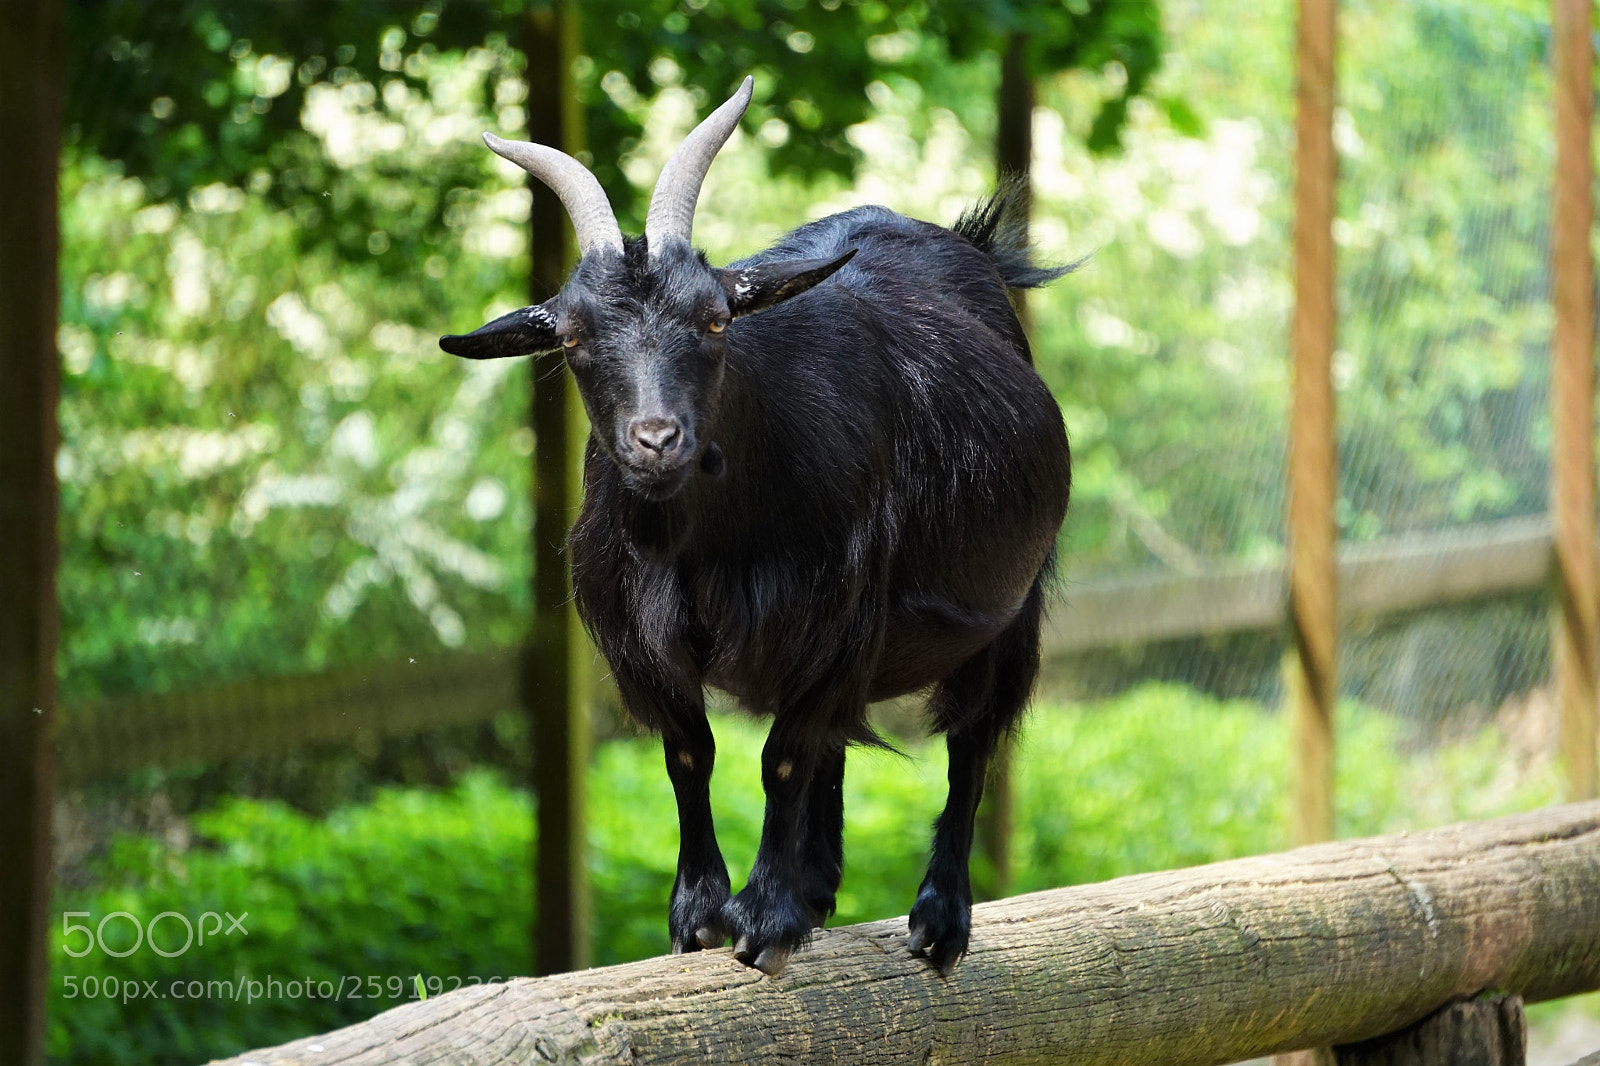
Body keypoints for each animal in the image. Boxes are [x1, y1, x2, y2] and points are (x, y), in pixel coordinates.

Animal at [440, 78, 1071, 976]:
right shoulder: (637, 635)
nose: (657, 439)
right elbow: (692, 752)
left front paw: (765, 920)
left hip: (1012, 608)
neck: (700, 540)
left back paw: (939, 922)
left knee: (971, 743)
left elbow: (783, 756)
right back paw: (818, 887)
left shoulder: (832, 607)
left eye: (714, 321)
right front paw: (702, 913)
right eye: (572, 336)